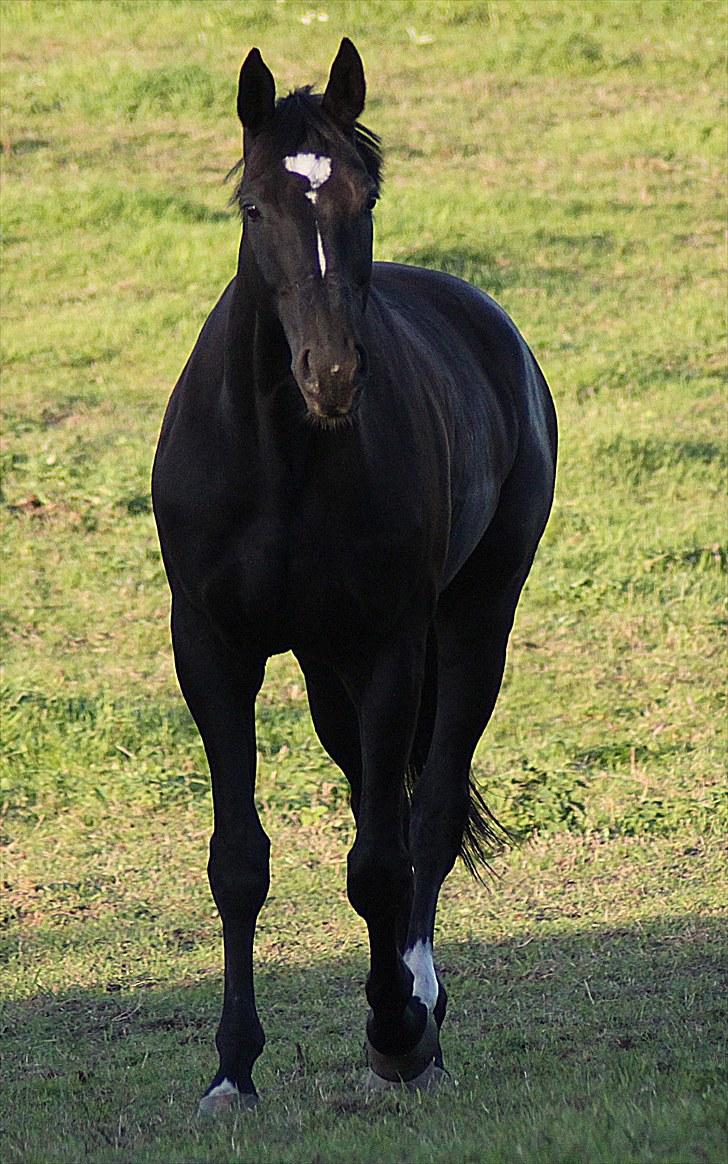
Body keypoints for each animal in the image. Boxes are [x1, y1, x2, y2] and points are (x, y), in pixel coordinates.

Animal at [151, 36, 556, 1108]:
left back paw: (421, 1018)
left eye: (362, 199)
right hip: (328, 676)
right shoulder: (213, 651)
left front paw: (396, 1029)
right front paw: (232, 1069)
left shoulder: (389, 651)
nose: (332, 375)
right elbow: (238, 862)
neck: (284, 463)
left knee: (429, 817)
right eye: (256, 206)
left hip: (469, 630)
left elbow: (380, 861)